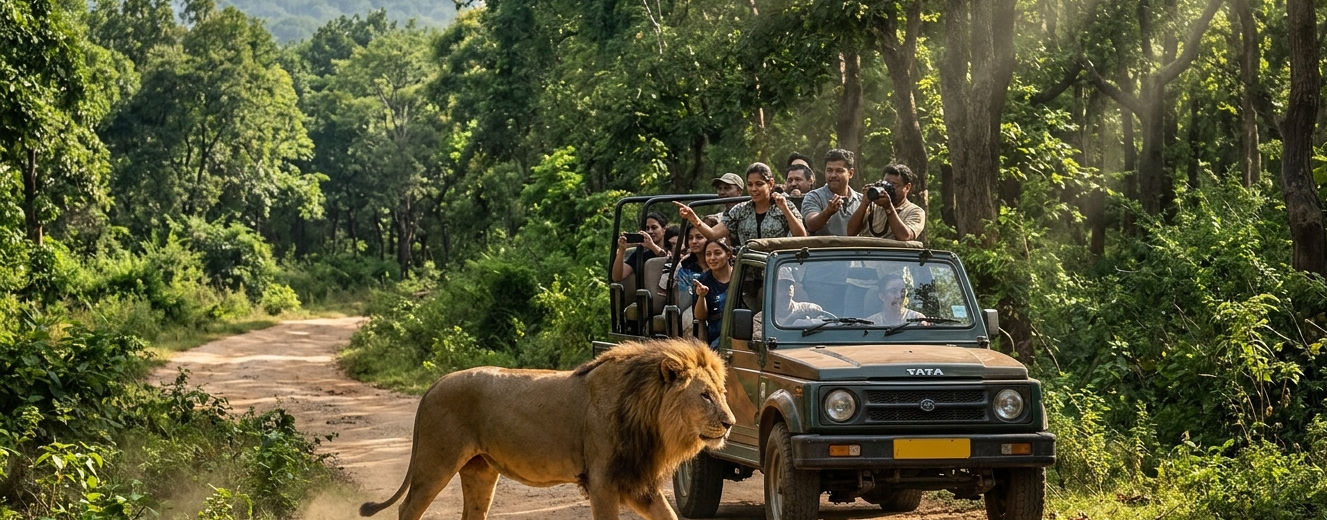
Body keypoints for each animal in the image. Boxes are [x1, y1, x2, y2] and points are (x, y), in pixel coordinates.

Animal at [359, 338, 735, 520]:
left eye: (723, 392)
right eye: (704, 395)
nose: (730, 423)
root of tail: (434, 385)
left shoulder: (636, 483)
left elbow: (669, 517)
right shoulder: (602, 481)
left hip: (480, 470)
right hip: (436, 461)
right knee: (407, 508)